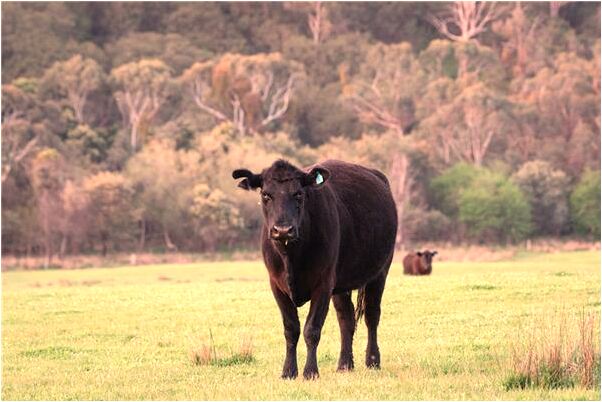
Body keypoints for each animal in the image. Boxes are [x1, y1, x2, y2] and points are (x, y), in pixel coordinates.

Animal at [232, 159, 396, 378]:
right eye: (265, 194)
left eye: (298, 194)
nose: (283, 230)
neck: (291, 256)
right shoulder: (276, 285)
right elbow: (291, 329)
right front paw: (288, 371)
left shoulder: (323, 283)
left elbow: (312, 329)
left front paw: (310, 372)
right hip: (341, 283)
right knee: (346, 318)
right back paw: (344, 364)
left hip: (380, 272)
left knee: (372, 314)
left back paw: (372, 361)